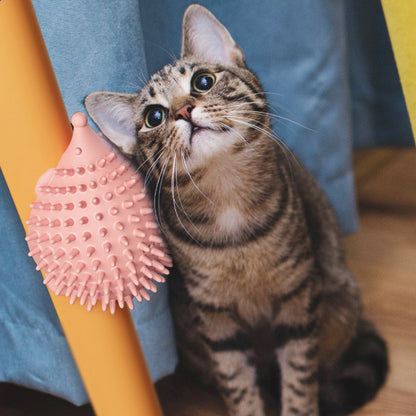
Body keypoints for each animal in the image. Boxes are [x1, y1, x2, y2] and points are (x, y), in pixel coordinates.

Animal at [86, 4, 388, 416]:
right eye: (154, 117)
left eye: (203, 81)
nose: (183, 110)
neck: (225, 191)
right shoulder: (215, 318)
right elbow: (237, 383)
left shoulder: (296, 297)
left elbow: (299, 377)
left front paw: (297, 406)